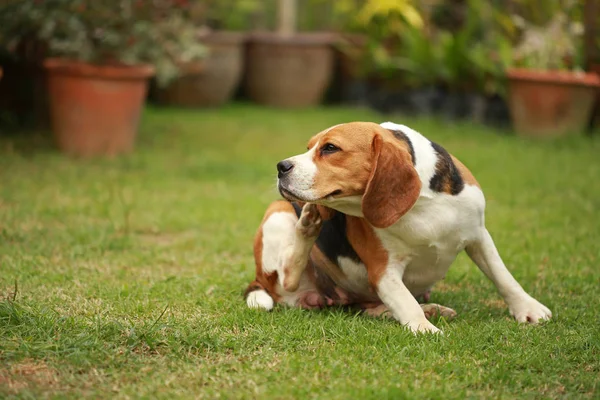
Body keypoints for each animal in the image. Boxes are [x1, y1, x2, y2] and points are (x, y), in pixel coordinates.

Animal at [243, 120, 548, 332]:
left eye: (330, 148)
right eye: (309, 148)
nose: (281, 166)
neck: (421, 207)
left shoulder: (478, 236)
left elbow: (504, 277)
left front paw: (529, 309)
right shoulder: (384, 271)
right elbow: (406, 303)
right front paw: (424, 330)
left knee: (369, 309)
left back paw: (429, 309)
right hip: (278, 214)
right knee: (288, 276)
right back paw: (307, 225)